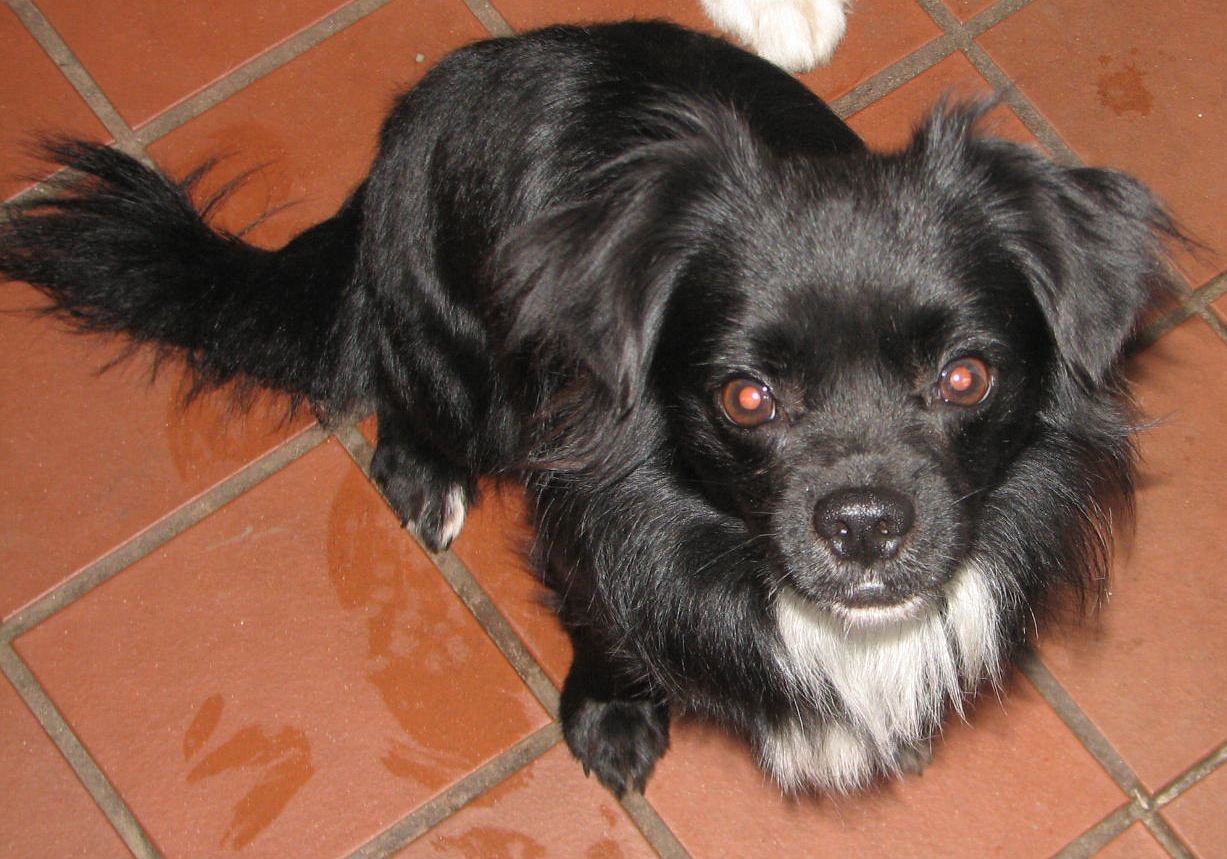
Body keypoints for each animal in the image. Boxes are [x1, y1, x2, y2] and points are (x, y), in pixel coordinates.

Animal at [0, 21, 1177, 800]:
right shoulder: (587, 538)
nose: (864, 524)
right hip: (452, 359)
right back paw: (422, 475)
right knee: (402, 384)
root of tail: (397, 144)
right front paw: (610, 723)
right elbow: (608, 632)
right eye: (745, 397)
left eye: (964, 378)